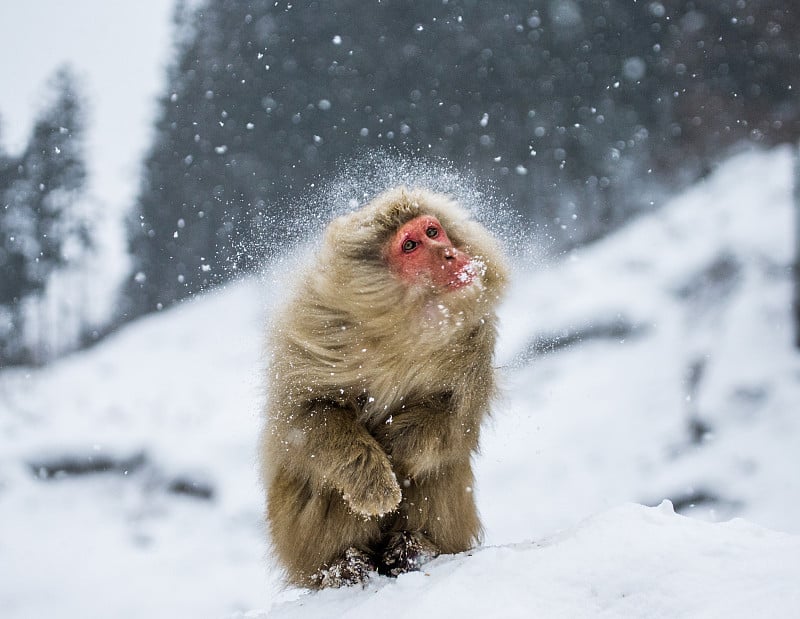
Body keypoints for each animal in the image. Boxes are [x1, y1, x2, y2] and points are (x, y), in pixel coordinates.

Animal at [260, 185, 510, 592]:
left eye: (433, 232)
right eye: (410, 246)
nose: (450, 254)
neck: (406, 323)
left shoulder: (476, 342)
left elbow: (454, 419)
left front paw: (395, 446)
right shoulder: (317, 326)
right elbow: (307, 414)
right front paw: (376, 479)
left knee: (439, 466)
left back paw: (414, 549)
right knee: (321, 482)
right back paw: (343, 566)